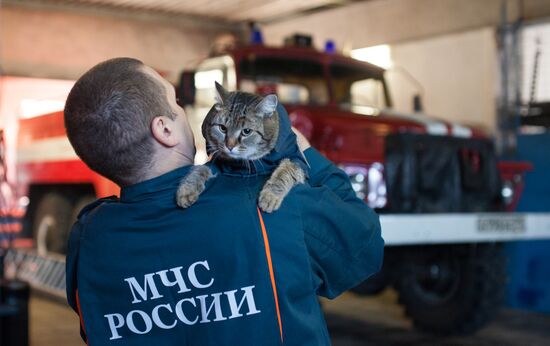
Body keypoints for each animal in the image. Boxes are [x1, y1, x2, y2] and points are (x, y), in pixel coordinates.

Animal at [177, 82, 306, 212]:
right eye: (222, 128)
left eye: (247, 131)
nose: (229, 146)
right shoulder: (216, 162)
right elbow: (199, 169)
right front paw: (187, 189)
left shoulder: (297, 160)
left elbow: (284, 171)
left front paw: (270, 195)